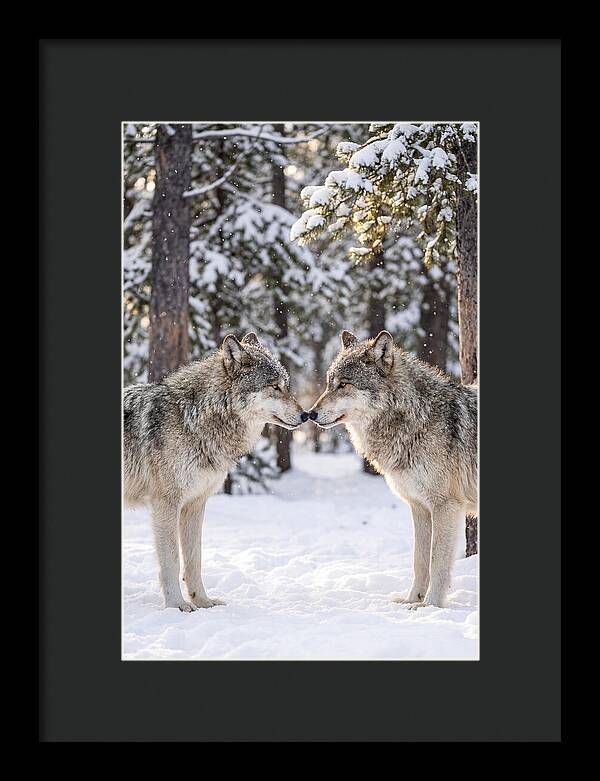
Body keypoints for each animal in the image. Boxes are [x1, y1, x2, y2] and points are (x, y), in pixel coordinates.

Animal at [123, 332, 306, 611]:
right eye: (274, 387)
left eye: (286, 386)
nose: (307, 415)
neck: (193, 418)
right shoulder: (166, 504)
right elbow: (172, 559)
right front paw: (177, 605)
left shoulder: (195, 504)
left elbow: (194, 559)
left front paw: (202, 601)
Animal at [309, 330, 478, 608]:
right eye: (329, 384)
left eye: (344, 384)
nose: (310, 414)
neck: (417, 417)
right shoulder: (419, 506)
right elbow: (420, 561)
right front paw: (412, 600)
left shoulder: (446, 506)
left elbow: (437, 562)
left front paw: (431, 605)